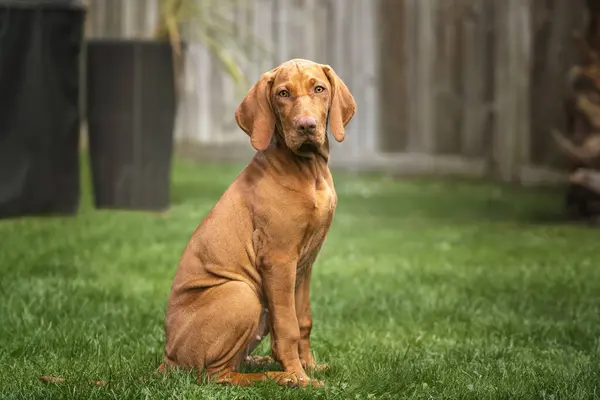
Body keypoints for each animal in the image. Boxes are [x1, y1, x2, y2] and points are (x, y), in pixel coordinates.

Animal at [159, 57, 356, 386]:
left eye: (319, 89)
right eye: (283, 94)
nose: (306, 126)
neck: (309, 171)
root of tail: (167, 359)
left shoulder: (305, 264)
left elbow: (303, 320)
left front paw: (310, 366)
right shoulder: (279, 259)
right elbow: (288, 327)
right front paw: (300, 377)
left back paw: (263, 362)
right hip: (242, 294)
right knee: (217, 376)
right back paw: (277, 376)